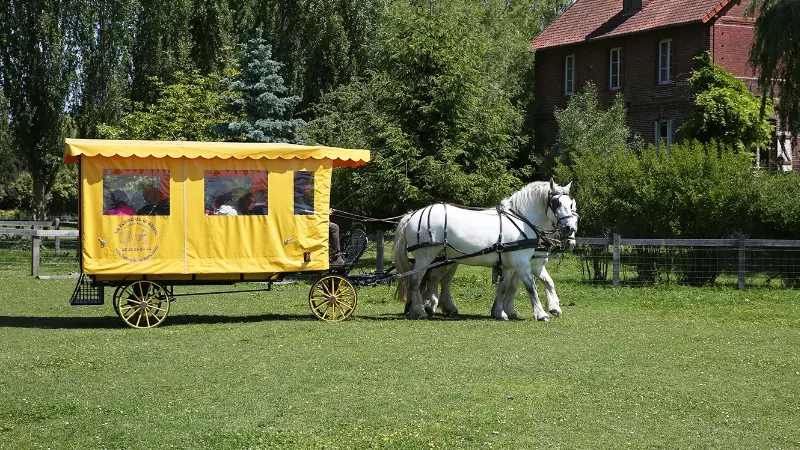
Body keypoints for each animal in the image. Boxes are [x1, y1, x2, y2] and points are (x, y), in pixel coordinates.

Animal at [392, 178, 576, 320]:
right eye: (556, 203)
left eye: (571, 205)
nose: (569, 229)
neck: (522, 220)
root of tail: (412, 214)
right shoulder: (522, 263)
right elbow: (531, 287)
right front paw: (541, 314)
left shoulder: (512, 265)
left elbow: (507, 287)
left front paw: (500, 312)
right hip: (426, 256)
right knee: (416, 280)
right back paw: (419, 311)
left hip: (444, 258)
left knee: (438, 280)